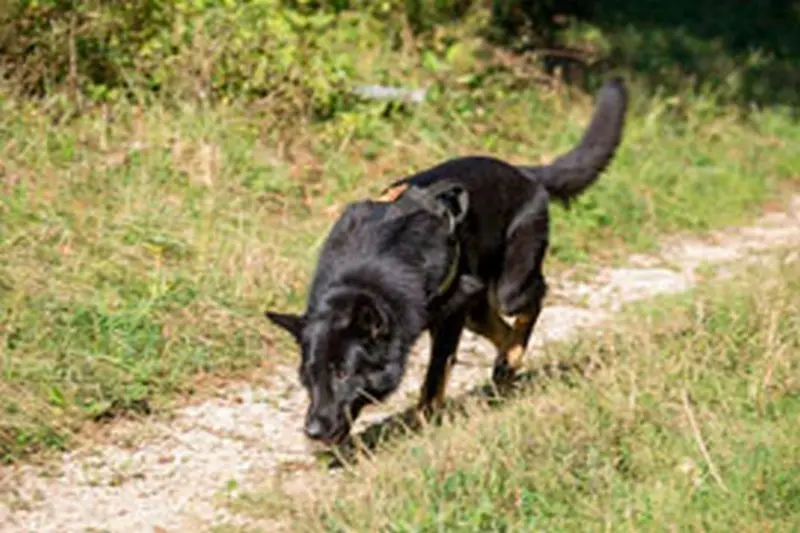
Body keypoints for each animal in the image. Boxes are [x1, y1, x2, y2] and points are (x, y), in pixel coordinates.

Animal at [266, 77, 628, 442]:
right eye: (307, 377)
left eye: (342, 373)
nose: (312, 431)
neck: (362, 278)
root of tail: (524, 174)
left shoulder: (451, 314)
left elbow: (435, 374)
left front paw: (425, 422)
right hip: (477, 307)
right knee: (501, 330)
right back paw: (505, 366)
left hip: (507, 288)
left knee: (534, 298)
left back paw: (510, 359)